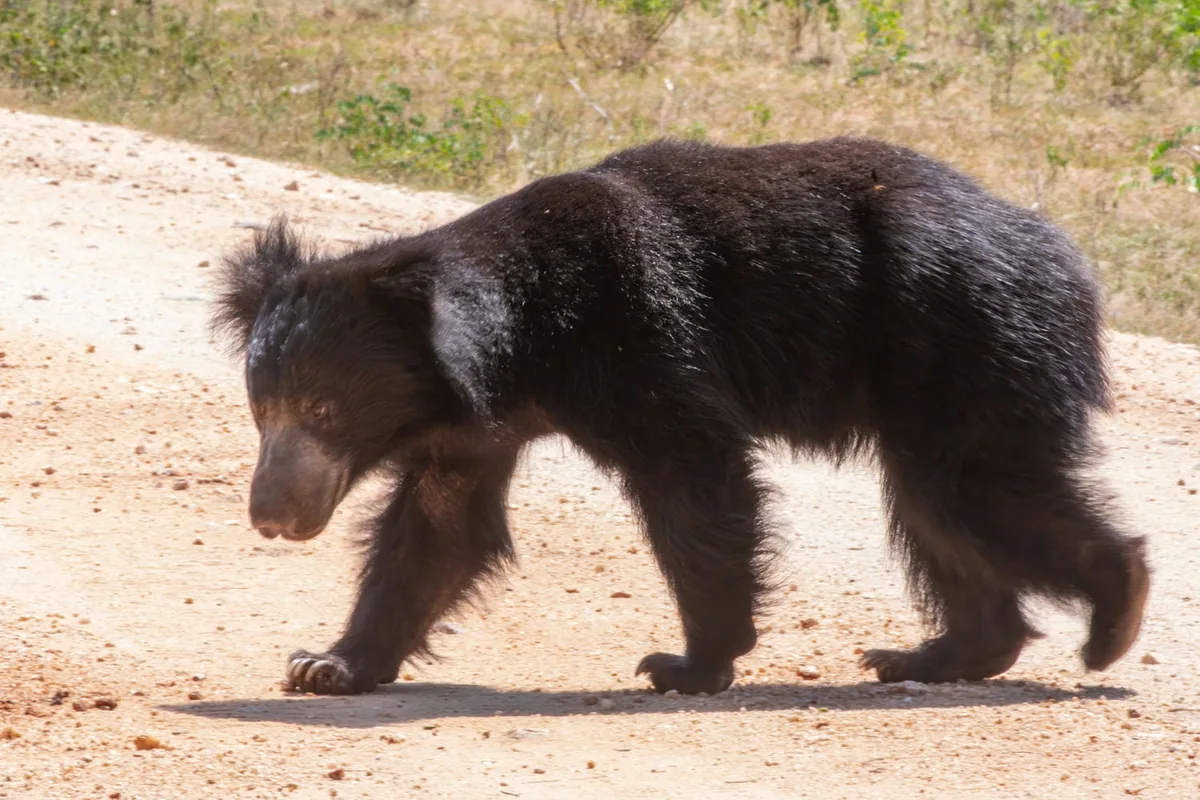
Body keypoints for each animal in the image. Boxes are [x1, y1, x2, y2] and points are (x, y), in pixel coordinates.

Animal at [211, 135, 1149, 696]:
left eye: (323, 407)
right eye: (262, 411)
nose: (271, 516)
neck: (520, 344)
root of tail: (1064, 255)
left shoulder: (639, 331)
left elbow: (694, 476)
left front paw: (688, 663)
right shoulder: (470, 430)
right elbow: (435, 530)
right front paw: (327, 664)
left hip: (960, 337)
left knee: (969, 492)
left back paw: (1113, 618)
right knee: (939, 511)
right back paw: (933, 654)